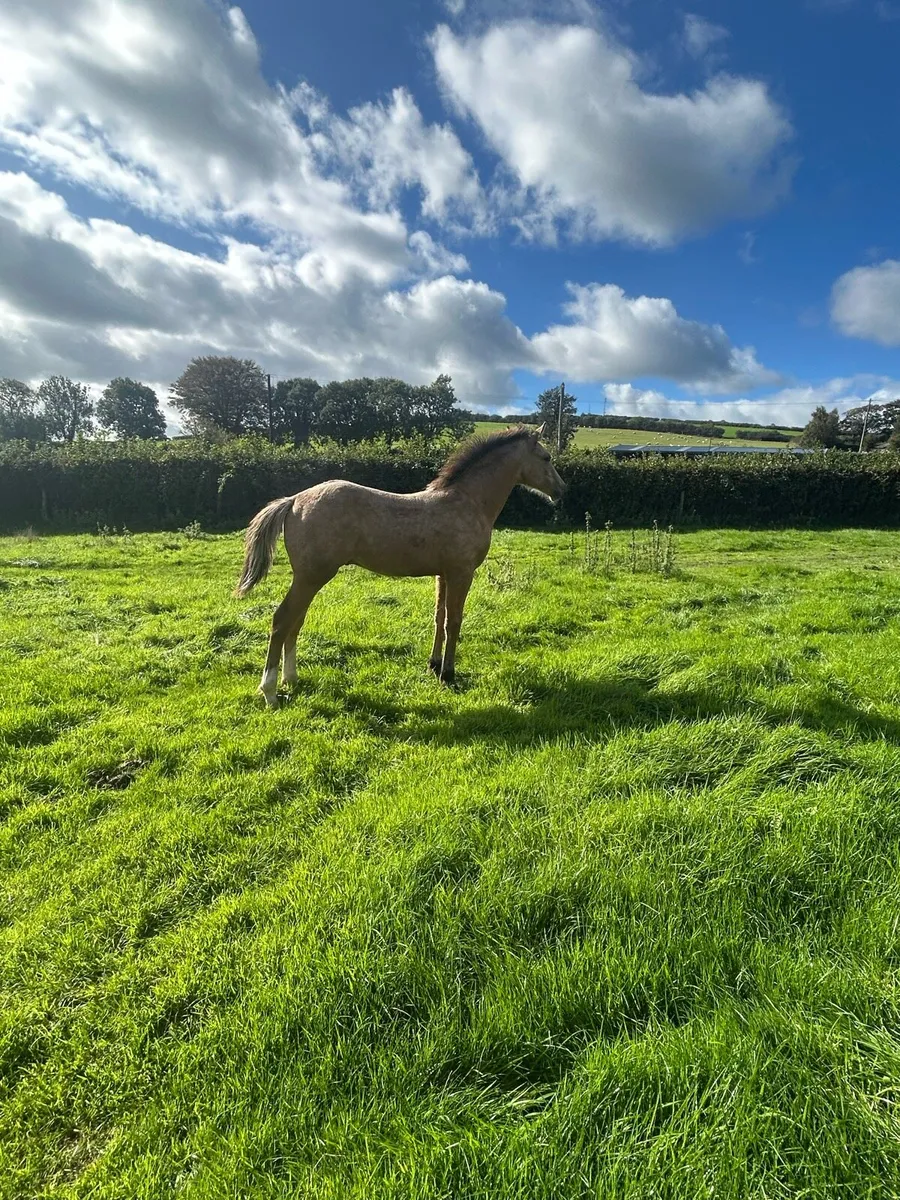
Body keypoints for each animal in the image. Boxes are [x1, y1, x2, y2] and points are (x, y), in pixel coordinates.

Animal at [235, 425, 566, 707]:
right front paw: (448, 675)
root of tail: (293, 500)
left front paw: (433, 666)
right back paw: (270, 692)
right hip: (311, 577)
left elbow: (438, 618)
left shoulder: (443, 574)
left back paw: (291, 679)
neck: (468, 502)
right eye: (546, 457)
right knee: (282, 620)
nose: (562, 490)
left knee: (296, 621)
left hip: (309, 578)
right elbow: (454, 622)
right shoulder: (461, 573)